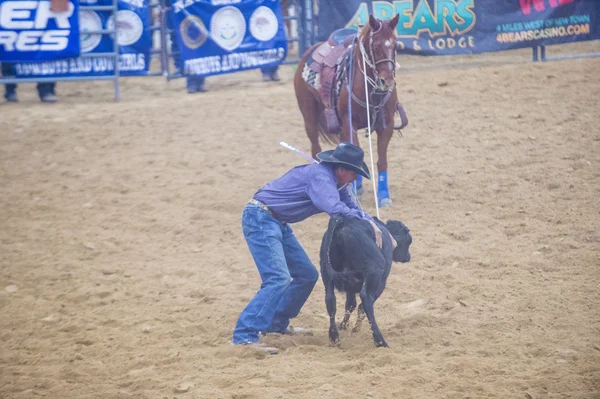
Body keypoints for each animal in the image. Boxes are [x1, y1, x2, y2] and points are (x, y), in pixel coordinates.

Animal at [292, 14, 408, 208]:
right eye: (375, 46)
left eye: (395, 45)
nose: (387, 82)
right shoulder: (349, 122)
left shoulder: (387, 125)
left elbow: (381, 160)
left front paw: (383, 195)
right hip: (309, 115)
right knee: (315, 146)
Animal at [318, 214, 412, 348]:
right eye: (409, 241)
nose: (408, 257)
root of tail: (342, 223)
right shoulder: (380, 283)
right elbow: (361, 305)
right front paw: (355, 328)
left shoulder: (351, 287)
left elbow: (350, 304)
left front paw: (343, 326)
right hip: (375, 272)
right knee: (366, 298)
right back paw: (380, 340)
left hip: (326, 274)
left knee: (330, 300)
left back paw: (334, 336)